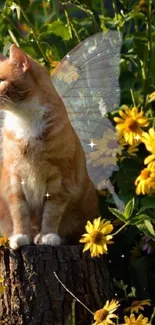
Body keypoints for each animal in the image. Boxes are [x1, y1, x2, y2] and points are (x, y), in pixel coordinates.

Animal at [0, 44, 98, 248]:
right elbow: (19, 211)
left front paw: (48, 235)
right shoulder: (15, 179)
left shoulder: (60, 179)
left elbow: (52, 212)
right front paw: (21, 235)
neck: (25, 118)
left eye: (1, 80)